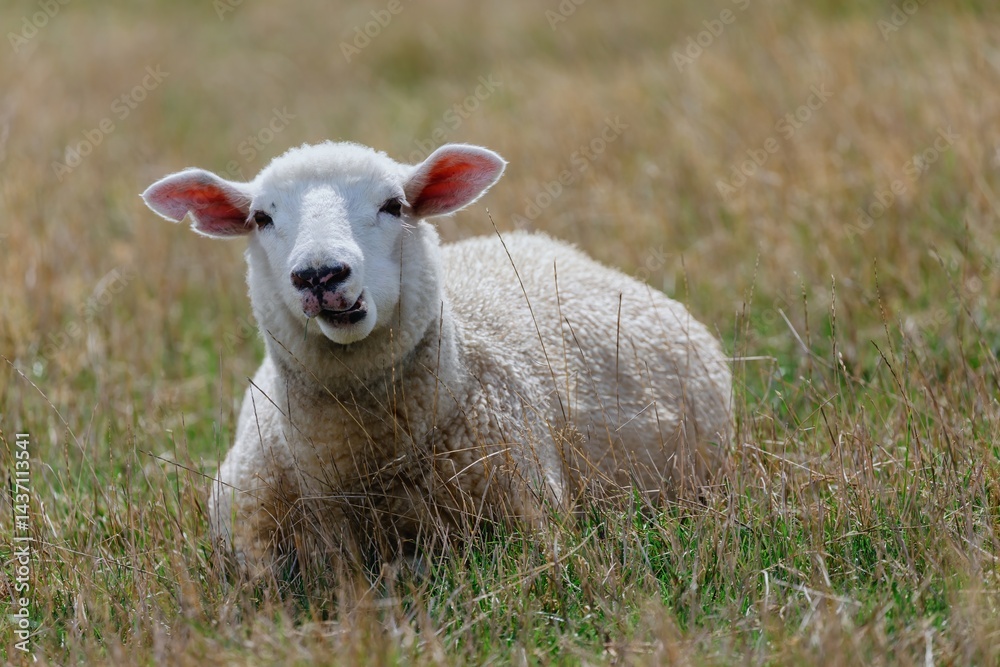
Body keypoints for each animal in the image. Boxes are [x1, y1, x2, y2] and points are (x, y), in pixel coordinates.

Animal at [141, 141, 732, 574]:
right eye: (261, 218)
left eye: (393, 206)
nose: (320, 275)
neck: (359, 463)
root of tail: (551, 244)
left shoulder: (527, 519)